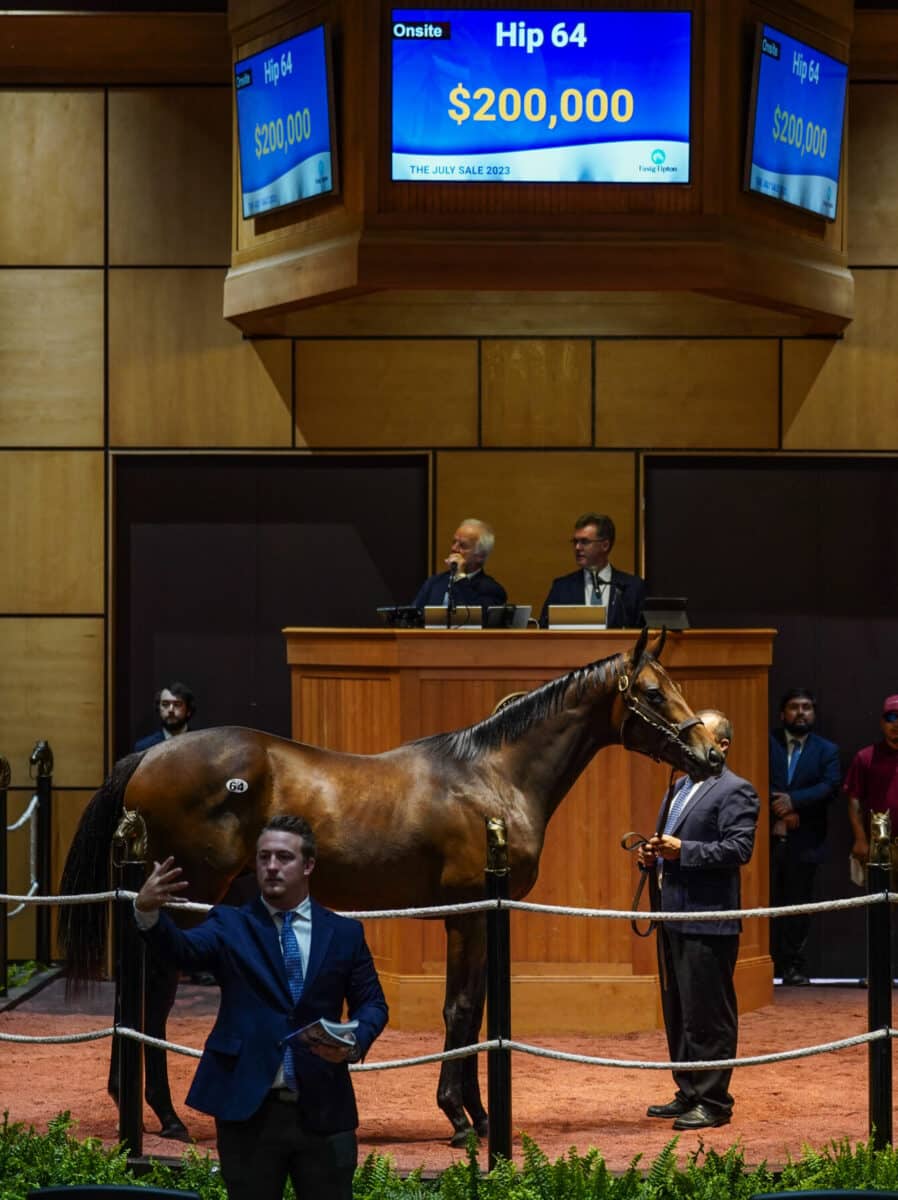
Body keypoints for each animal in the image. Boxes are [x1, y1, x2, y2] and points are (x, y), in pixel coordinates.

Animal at [59, 628, 720, 1142]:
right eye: (654, 692)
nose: (711, 753)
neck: (494, 778)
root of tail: (146, 759)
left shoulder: (480, 915)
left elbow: (476, 1012)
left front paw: (478, 1114)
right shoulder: (469, 914)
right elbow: (460, 1010)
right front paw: (461, 1119)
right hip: (188, 897)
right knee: (152, 995)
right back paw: (164, 1115)